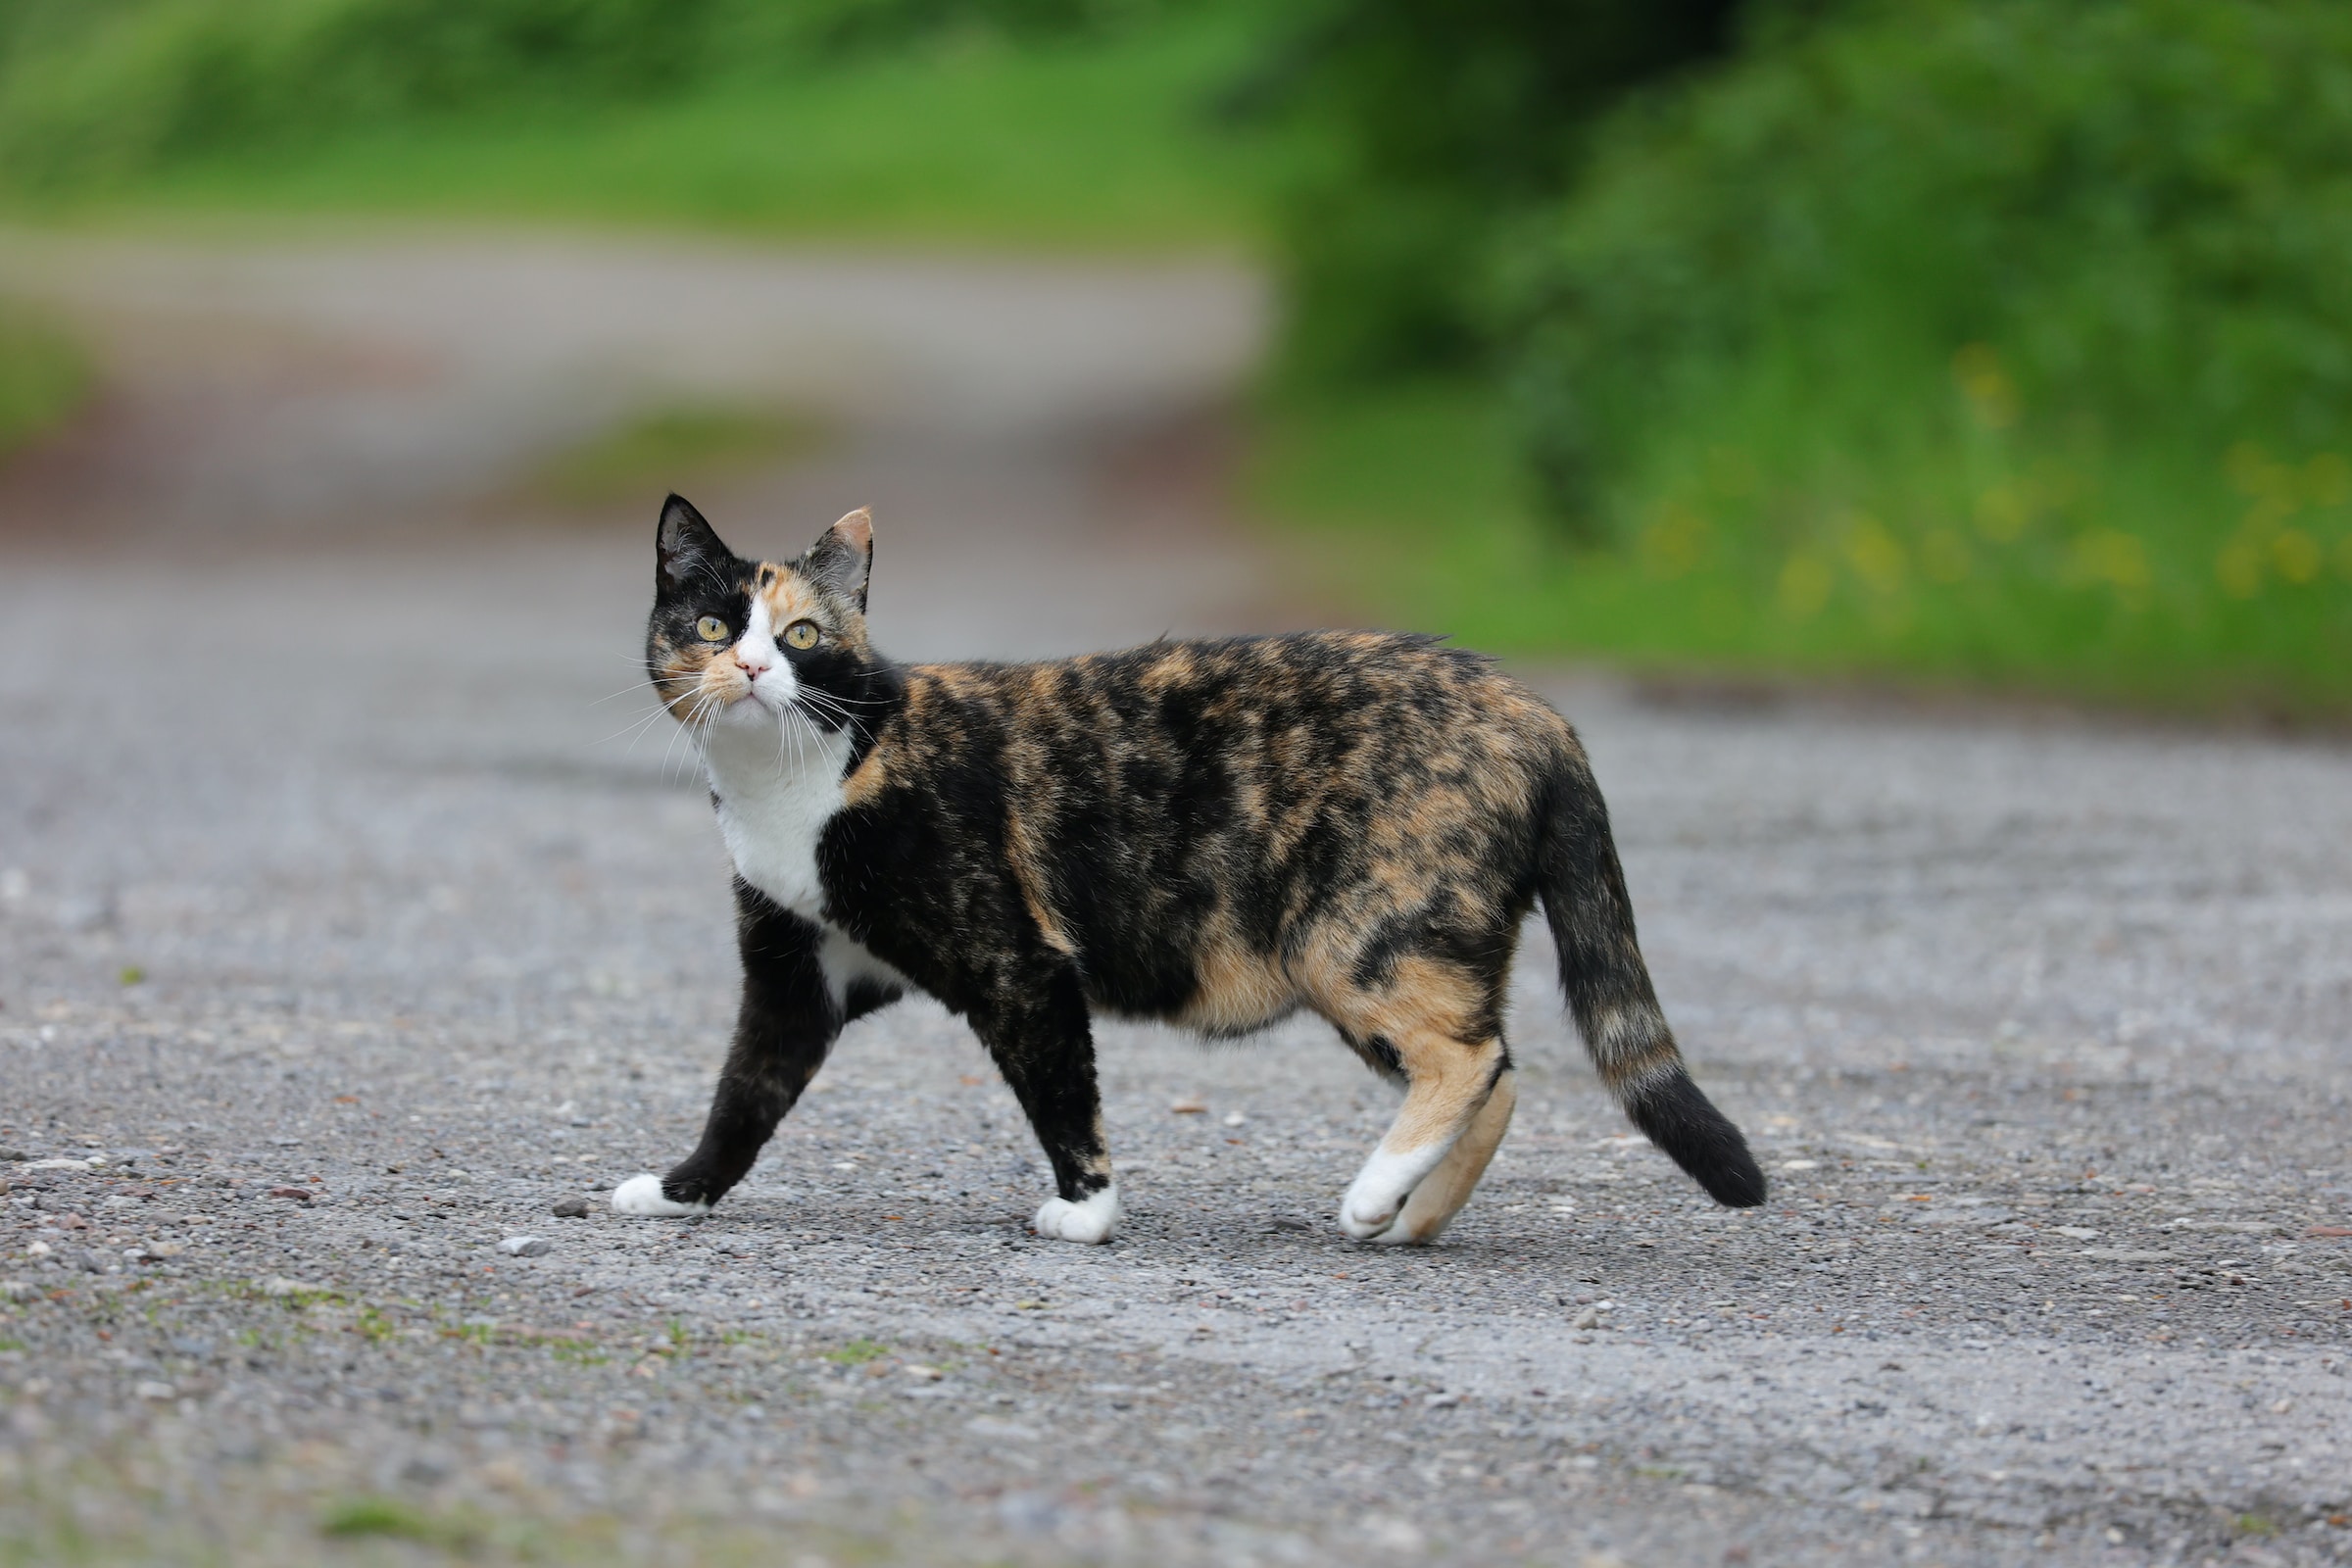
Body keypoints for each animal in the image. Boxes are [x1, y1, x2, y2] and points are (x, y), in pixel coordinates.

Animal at [612, 496, 1768, 1241]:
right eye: (711, 622)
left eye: (804, 633)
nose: (750, 666)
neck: (802, 781)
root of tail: (1530, 706)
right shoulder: (795, 975)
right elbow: (744, 1095)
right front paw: (678, 1191)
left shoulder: (1020, 965)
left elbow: (1062, 1095)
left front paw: (1086, 1213)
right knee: (1502, 1073)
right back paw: (1406, 1220)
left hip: (1363, 940)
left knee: (1470, 1058)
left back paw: (1371, 1195)